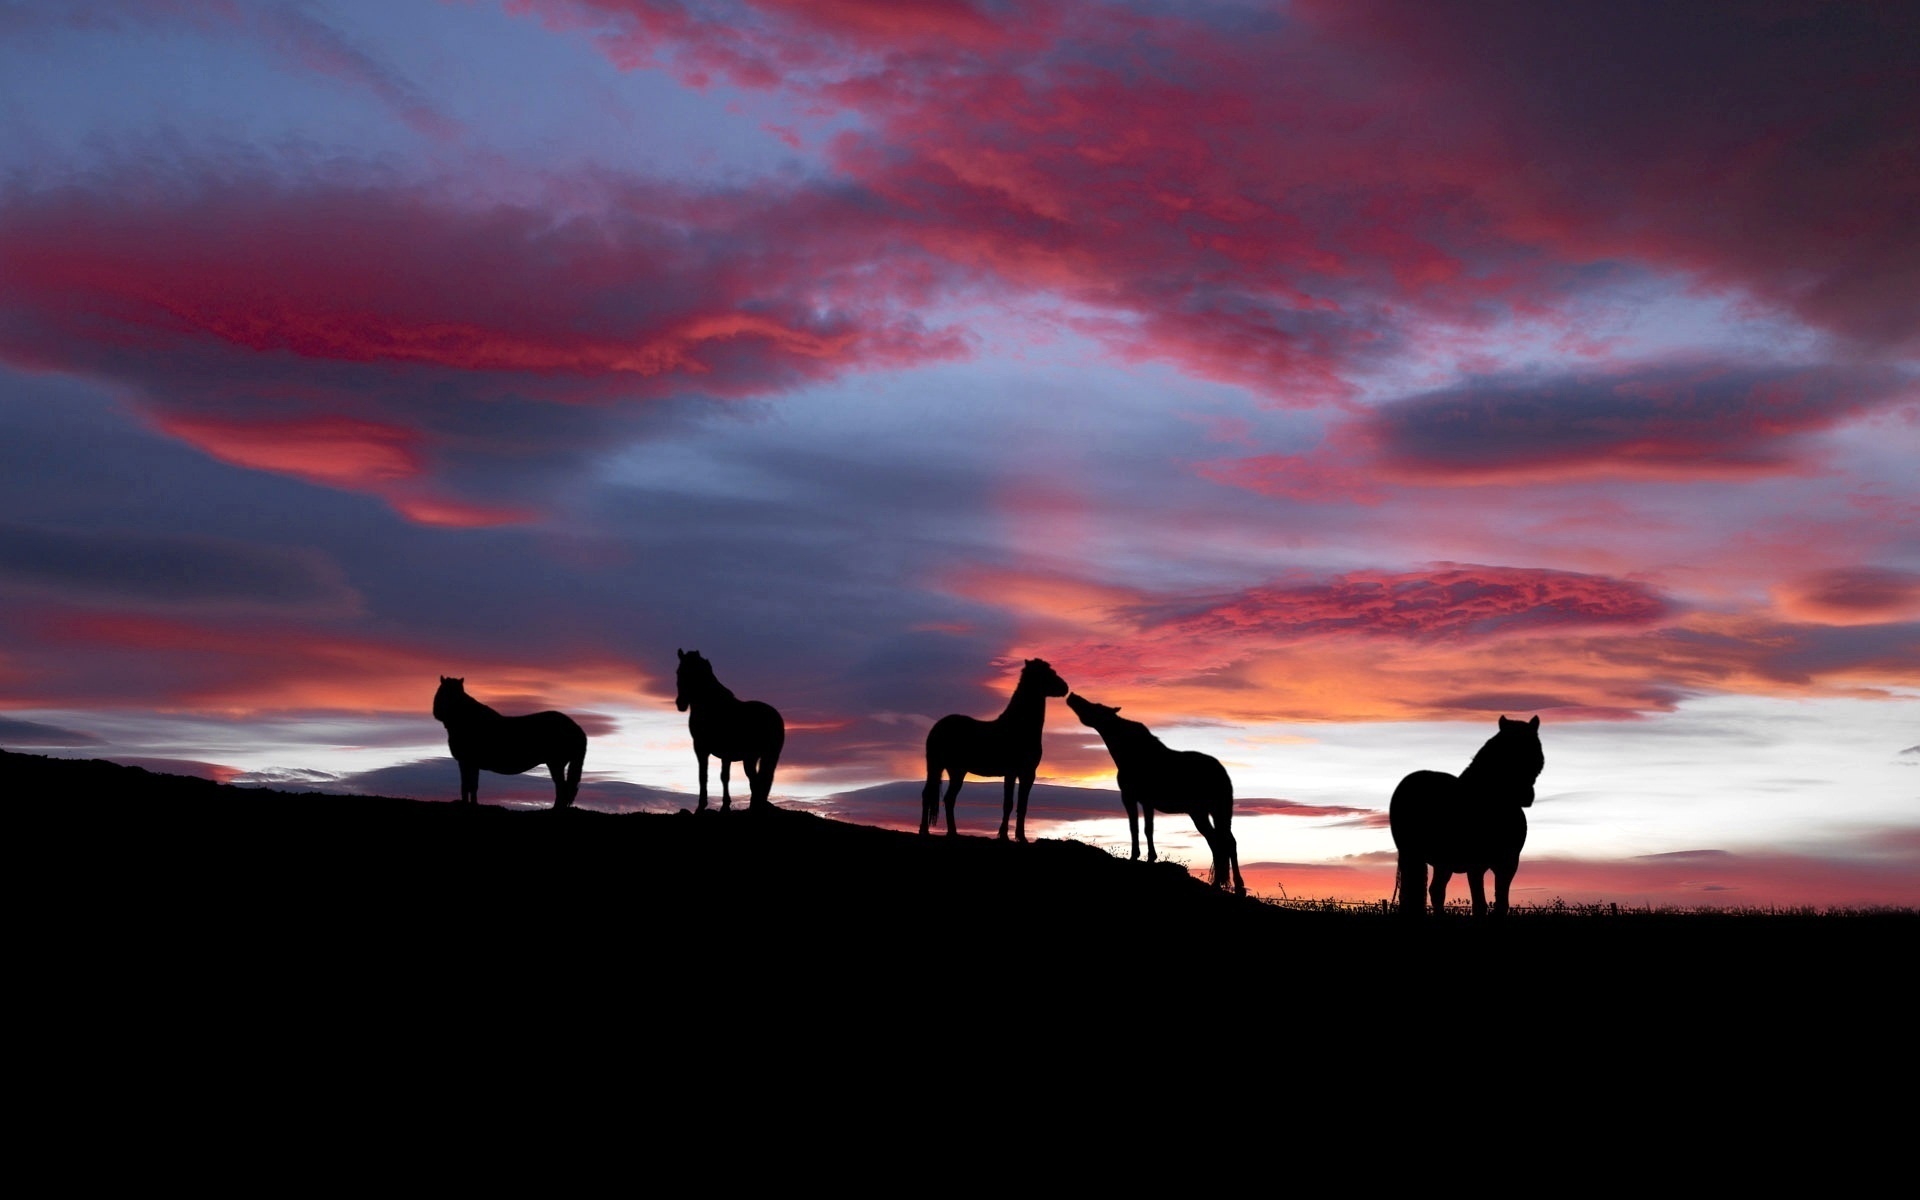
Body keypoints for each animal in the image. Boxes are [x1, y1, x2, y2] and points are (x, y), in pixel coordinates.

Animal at [433, 679, 587, 810]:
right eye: (441, 691)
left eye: (451, 694)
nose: (437, 713)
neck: (467, 720)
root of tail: (576, 727)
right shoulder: (470, 763)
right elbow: (470, 785)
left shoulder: (467, 762)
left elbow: (468, 785)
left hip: (556, 763)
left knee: (562, 787)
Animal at [672, 648, 783, 810]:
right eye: (679, 672)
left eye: (694, 673)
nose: (681, 703)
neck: (712, 706)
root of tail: (776, 716)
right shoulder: (701, 749)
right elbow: (703, 776)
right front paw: (702, 806)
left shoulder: (725, 752)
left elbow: (724, 777)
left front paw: (724, 806)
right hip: (757, 757)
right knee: (757, 781)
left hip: (757, 757)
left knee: (757, 781)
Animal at [921, 656, 1075, 840]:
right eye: (1048, 673)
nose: (1065, 687)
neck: (1019, 726)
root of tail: (937, 727)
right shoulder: (1014, 772)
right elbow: (1009, 804)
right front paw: (1007, 836)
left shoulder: (1026, 773)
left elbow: (1021, 805)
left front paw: (1017, 836)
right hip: (940, 767)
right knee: (934, 796)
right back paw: (927, 831)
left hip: (954, 770)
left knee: (946, 798)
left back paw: (951, 833)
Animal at [1067, 691, 1244, 890]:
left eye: (1096, 707)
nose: (1072, 696)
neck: (1131, 752)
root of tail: (1222, 772)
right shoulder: (1143, 801)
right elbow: (1144, 828)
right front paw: (1149, 857)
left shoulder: (1132, 797)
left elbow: (1139, 828)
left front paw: (1139, 857)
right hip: (1207, 812)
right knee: (1220, 842)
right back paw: (1221, 884)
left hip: (1210, 810)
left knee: (1224, 842)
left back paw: (1233, 885)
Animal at [1390, 710, 1536, 917]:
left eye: (1533, 750)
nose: (1526, 796)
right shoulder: (1476, 865)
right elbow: (1480, 904)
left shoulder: (1508, 864)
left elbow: (1502, 904)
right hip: (1414, 854)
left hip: (1442, 862)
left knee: (1436, 891)